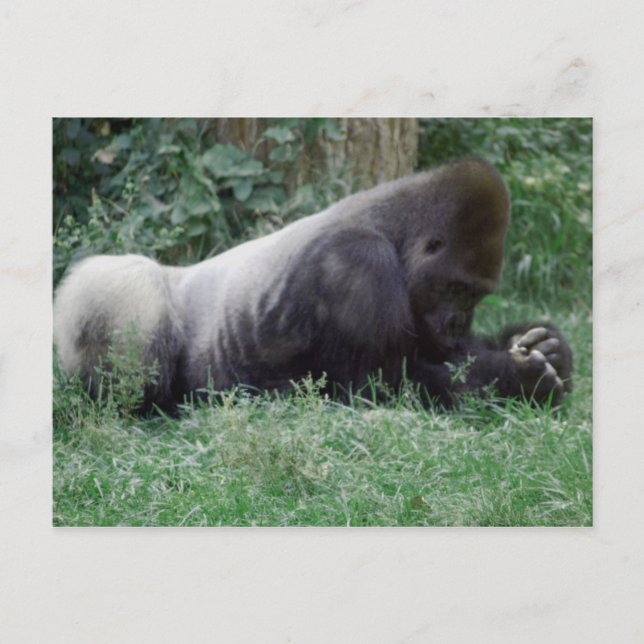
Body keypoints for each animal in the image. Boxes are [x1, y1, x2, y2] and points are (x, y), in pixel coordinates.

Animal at [53, 158, 572, 412]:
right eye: (458, 289)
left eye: (479, 296)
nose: (457, 322)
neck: (393, 230)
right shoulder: (357, 264)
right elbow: (381, 386)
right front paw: (518, 378)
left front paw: (547, 345)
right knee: (131, 287)